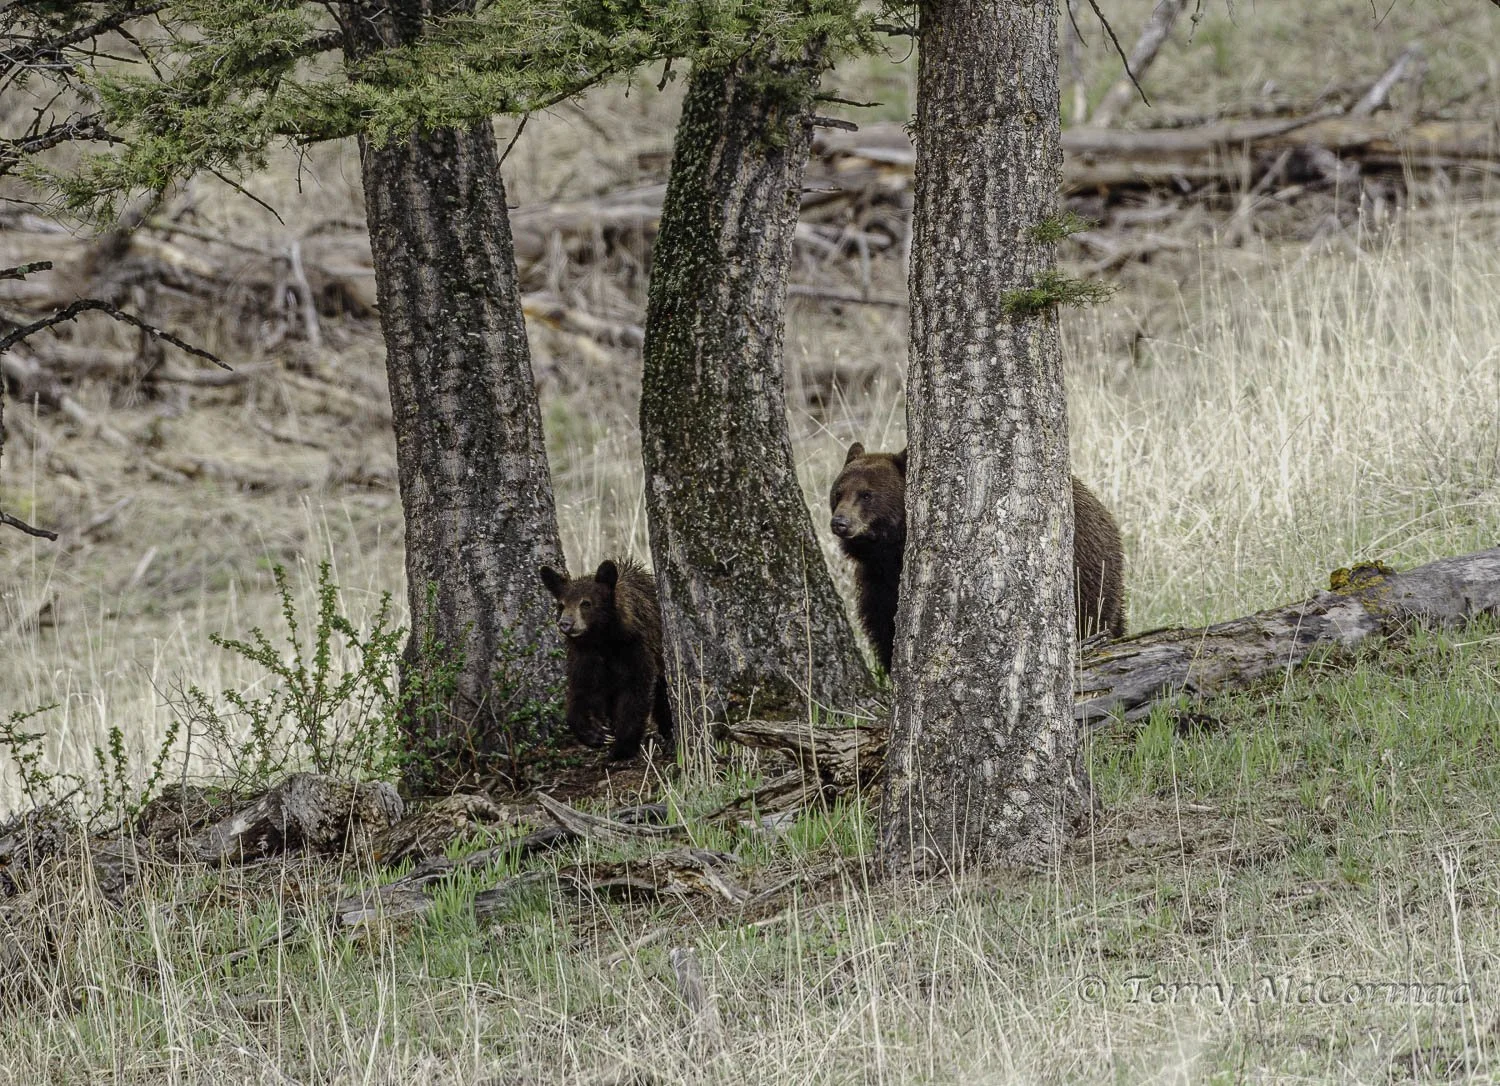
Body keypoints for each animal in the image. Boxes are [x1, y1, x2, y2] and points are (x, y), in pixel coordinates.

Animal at [538, 558, 674, 761]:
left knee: (662, 694)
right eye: (561, 605)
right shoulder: (584, 657)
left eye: (585, 603)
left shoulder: (636, 648)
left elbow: (636, 691)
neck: (603, 639)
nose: (565, 623)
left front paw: (622, 747)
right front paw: (593, 732)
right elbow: (580, 689)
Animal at [829, 442, 1126, 672]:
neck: (890, 551)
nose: (840, 523)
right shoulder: (877, 582)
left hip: (1089, 576)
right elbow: (882, 626)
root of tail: (1108, 518)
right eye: (838, 492)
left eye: (867, 494)